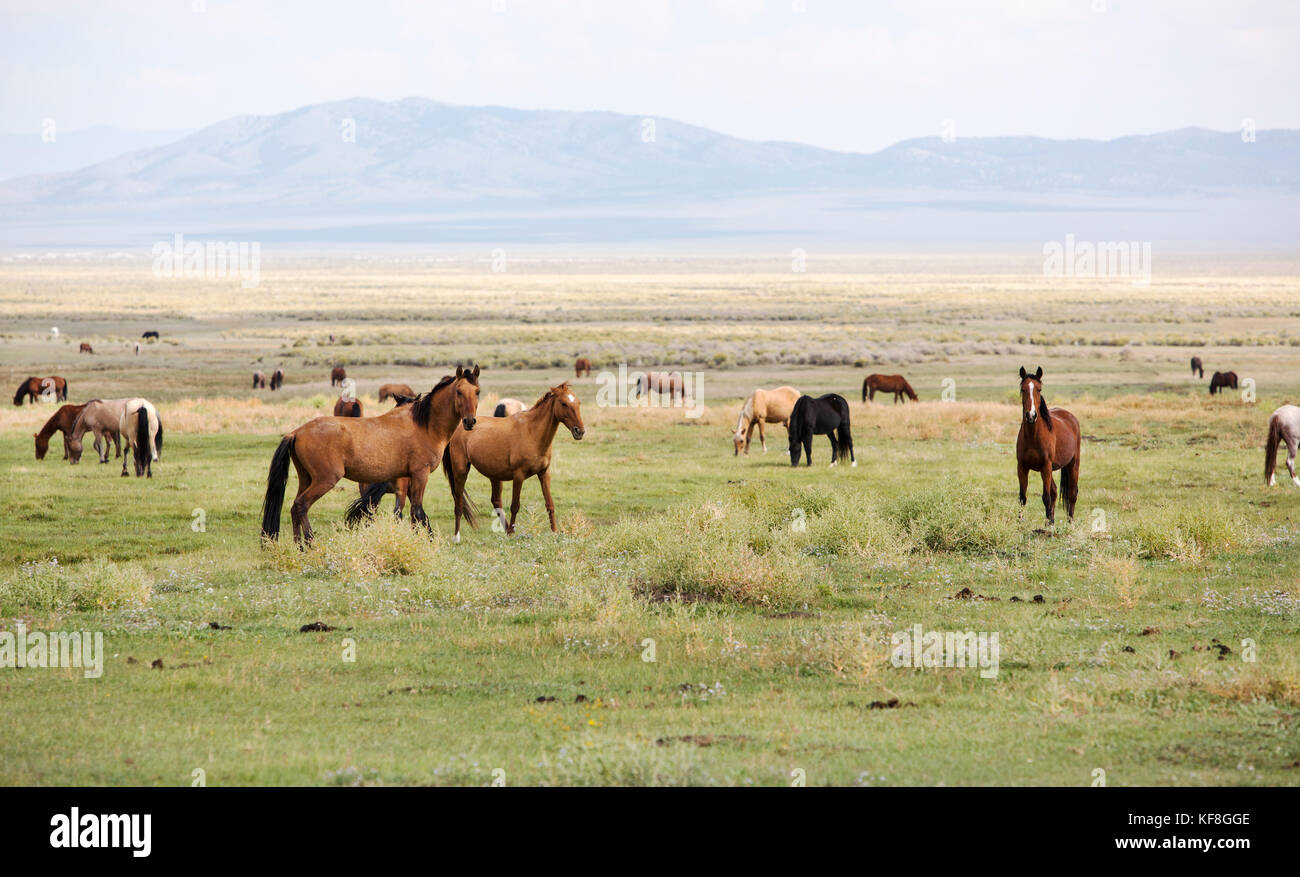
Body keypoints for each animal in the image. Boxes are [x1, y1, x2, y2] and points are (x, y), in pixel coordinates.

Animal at [263, 361, 483, 543]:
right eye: (459, 392)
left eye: (477, 391)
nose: (470, 421)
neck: (425, 425)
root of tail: (296, 432)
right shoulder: (420, 474)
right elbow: (419, 513)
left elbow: (412, 514)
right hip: (324, 480)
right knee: (302, 505)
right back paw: (310, 545)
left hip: (306, 478)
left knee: (294, 508)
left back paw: (299, 547)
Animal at [447, 384, 590, 543]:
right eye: (564, 403)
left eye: (578, 403)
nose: (579, 431)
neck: (532, 433)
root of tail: (460, 427)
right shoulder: (519, 475)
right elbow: (515, 505)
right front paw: (512, 533)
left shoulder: (544, 473)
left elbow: (549, 504)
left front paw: (555, 532)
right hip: (461, 472)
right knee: (459, 503)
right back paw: (457, 537)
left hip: (494, 475)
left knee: (496, 501)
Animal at [1008, 366, 1081, 527]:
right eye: (1022, 389)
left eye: (1039, 389)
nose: (1031, 415)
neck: (1033, 436)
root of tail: (1071, 417)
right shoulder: (1022, 467)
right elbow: (1022, 497)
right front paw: (1021, 523)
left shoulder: (1045, 466)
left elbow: (1046, 497)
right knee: (1054, 492)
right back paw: (1051, 522)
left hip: (1072, 464)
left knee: (1072, 494)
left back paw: (1070, 523)